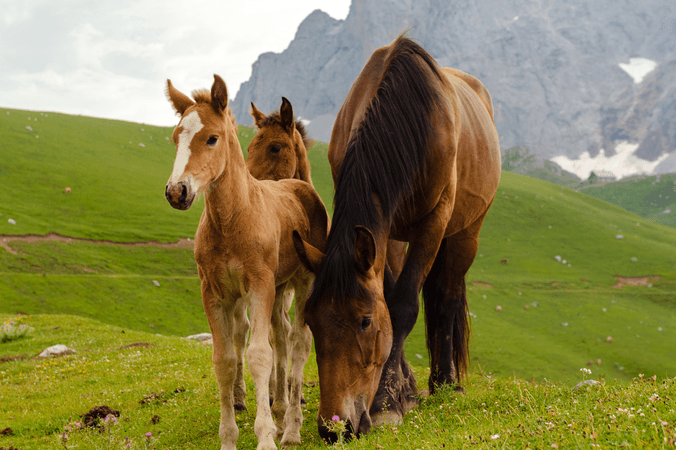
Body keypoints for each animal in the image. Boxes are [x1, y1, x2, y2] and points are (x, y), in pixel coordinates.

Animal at [164, 75, 329, 449]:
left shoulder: (261, 285)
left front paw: (267, 434)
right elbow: (224, 359)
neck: (233, 219)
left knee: (298, 344)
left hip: (304, 281)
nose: (177, 192)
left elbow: (260, 354)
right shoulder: (214, 292)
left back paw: (292, 428)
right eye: (176, 138)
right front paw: (229, 435)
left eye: (212, 138)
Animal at [293, 35, 501, 442]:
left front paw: (387, 403)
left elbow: (403, 305)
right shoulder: (385, 231)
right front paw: (403, 392)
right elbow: (389, 295)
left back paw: (446, 382)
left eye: (364, 322)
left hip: (465, 232)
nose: (333, 428)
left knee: (446, 297)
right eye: (311, 320)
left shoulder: (434, 221)